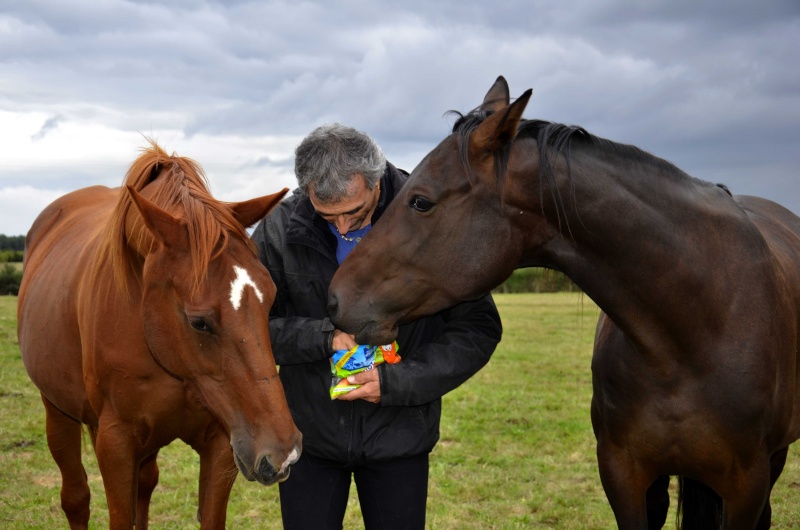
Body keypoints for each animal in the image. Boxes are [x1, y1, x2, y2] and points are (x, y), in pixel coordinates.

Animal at [17, 141, 304, 528]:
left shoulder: (221, 443)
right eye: (199, 322)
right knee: (76, 498)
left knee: (145, 485)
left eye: (271, 299)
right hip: (57, 410)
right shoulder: (116, 444)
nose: (284, 454)